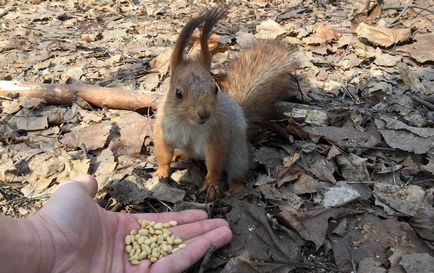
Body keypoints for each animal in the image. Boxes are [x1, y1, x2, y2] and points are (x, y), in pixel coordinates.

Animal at [153, 5, 298, 198]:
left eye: (216, 89)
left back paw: (235, 188)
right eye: (178, 93)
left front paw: (211, 184)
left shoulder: (217, 134)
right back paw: (179, 154)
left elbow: (215, 162)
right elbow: (163, 153)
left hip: (237, 155)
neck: (189, 123)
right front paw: (161, 172)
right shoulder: (163, 130)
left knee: (236, 171)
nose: (204, 113)